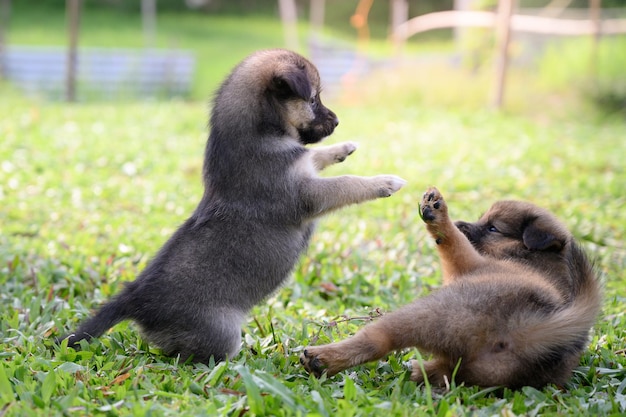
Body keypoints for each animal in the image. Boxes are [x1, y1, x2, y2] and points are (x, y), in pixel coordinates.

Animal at [61, 48, 408, 360]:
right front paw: (384, 182)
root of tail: (137, 297)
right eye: (312, 100)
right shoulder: (306, 194)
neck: (259, 133)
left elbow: (315, 156)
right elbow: (346, 183)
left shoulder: (303, 167)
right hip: (222, 334)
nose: (337, 122)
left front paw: (344, 148)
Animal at [302, 187, 600, 388]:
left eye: (493, 228)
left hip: (428, 313)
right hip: (483, 370)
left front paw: (439, 217)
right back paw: (422, 371)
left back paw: (323, 358)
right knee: (449, 370)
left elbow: (453, 243)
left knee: (376, 340)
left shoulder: (470, 263)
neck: (533, 260)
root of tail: (531, 329)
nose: (459, 222)